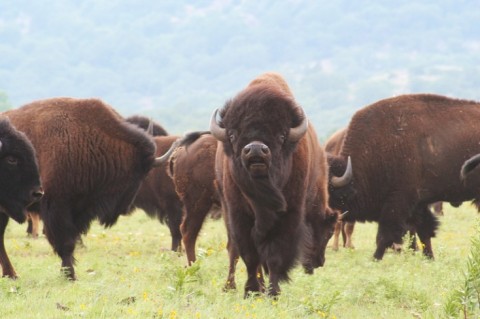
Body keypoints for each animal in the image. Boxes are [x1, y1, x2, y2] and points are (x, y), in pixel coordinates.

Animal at [210, 72, 338, 298]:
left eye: (281, 135)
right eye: (233, 134)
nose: (255, 149)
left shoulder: (289, 216)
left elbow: (274, 256)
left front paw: (273, 292)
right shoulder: (239, 215)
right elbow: (250, 255)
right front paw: (251, 290)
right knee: (234, 249)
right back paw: (233, 286)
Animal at [328, 94, 480, 262]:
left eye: (327, 190)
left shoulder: (397, 203)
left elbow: (385, 235)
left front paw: (375, 259)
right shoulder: (418, 204)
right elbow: (423, 232)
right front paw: (429, 258)